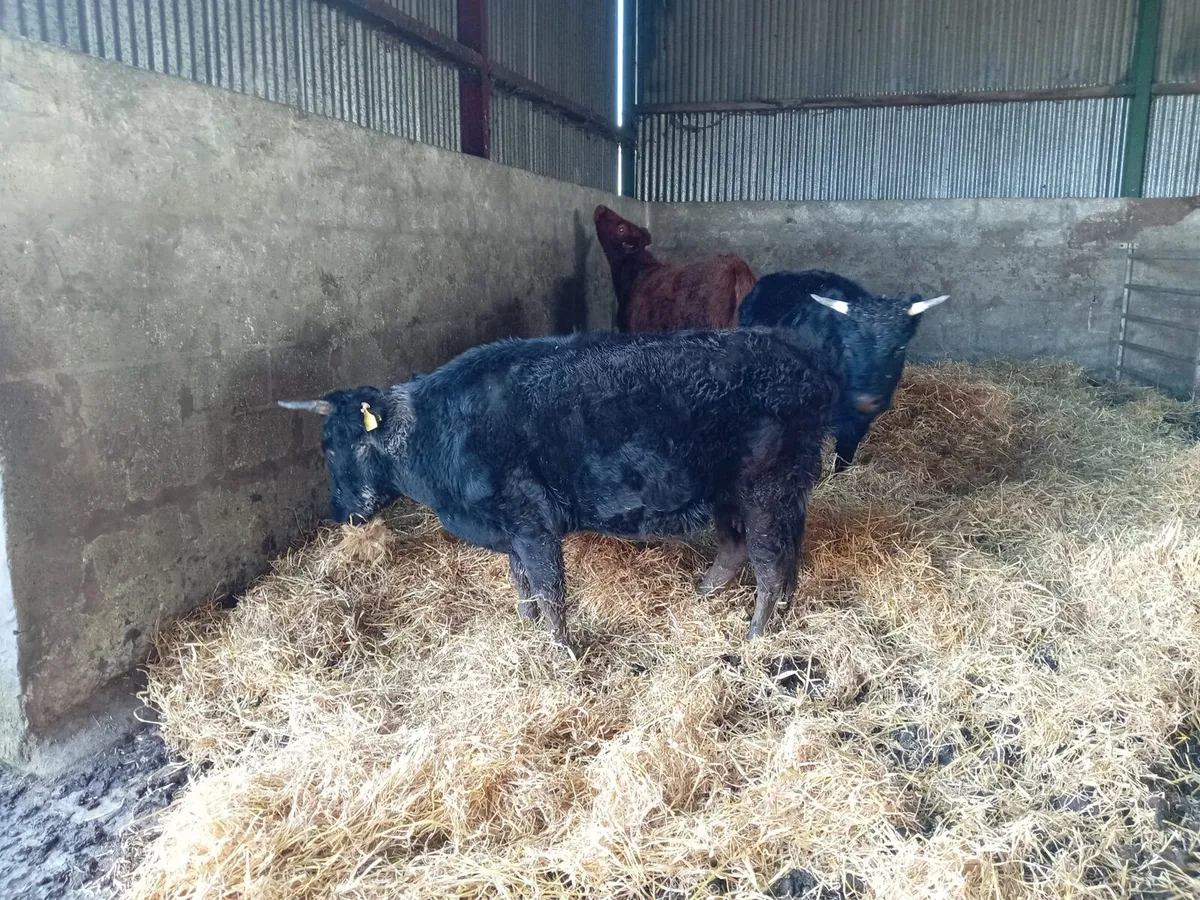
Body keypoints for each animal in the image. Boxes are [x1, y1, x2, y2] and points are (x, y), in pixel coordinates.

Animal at [279, 329, 838, 651]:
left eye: (334, 448)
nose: (339, 512)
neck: (437, 433)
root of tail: (802, 360)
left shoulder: (531, 521)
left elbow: (549, 590)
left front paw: (560, 653)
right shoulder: (509, 529)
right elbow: (522, 584)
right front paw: (528, 629)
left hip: (766, 488)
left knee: (770, 565)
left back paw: (756, 637)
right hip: (746, 493)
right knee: (752, 550)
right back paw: (720, 599)